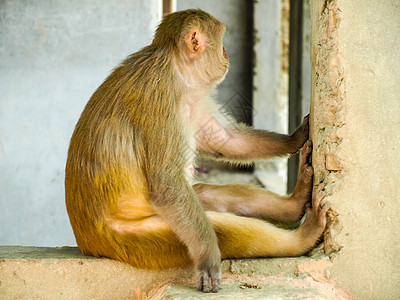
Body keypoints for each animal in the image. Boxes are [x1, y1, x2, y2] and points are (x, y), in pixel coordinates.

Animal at [65, 8, 328, 292]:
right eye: (221, 40)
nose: (226, 54)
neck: (174, 67)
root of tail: (91, 244)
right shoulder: (163, 98)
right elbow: (167, 185)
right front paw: (209, 258)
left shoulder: (192, 97)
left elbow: (225, 141)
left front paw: (294, 138)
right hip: (136, 239)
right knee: (219, 227)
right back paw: (303, 238)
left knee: (202, 194)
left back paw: (295, 203)